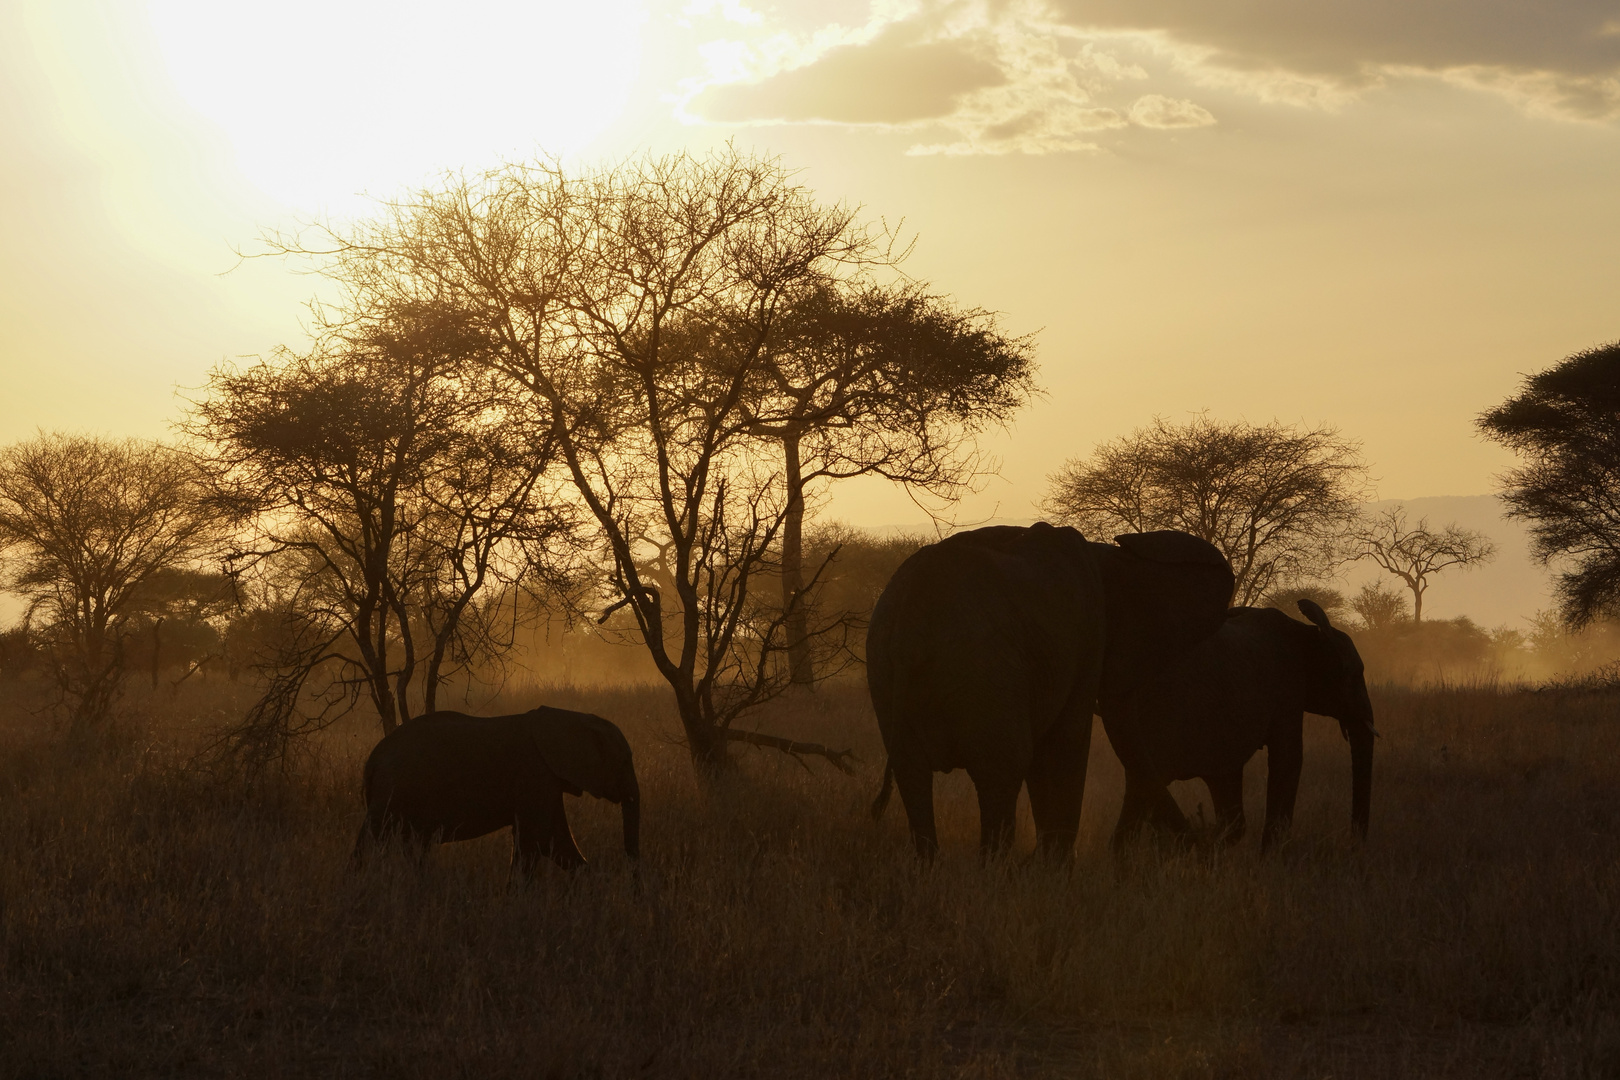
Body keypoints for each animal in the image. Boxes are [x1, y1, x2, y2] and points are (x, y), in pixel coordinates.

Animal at [354, 709, 638, 880]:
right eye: (625, 761)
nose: (635, 888)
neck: (572, 718)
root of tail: (372, 761)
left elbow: (543, 840)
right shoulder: (536, 775)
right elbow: (544, 839)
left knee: (412, 847)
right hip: (392, 793)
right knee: (375, 838)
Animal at [874, 524, 1224, 861]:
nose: (1198, 844)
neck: (1106, 554)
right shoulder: (1087, 638)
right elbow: (1066, 743)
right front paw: (1055, 869)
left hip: (887, 671)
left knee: (912, 773)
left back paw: (930, 867)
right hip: (984, 667)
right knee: (1001, 771)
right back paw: (994, 872)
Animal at [1114, 599, 1380, 854]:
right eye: (1355, 674)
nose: (1353, 845)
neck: (1309, 631)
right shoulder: (1288, 685)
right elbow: (1289, 758)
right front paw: (1271, 857)